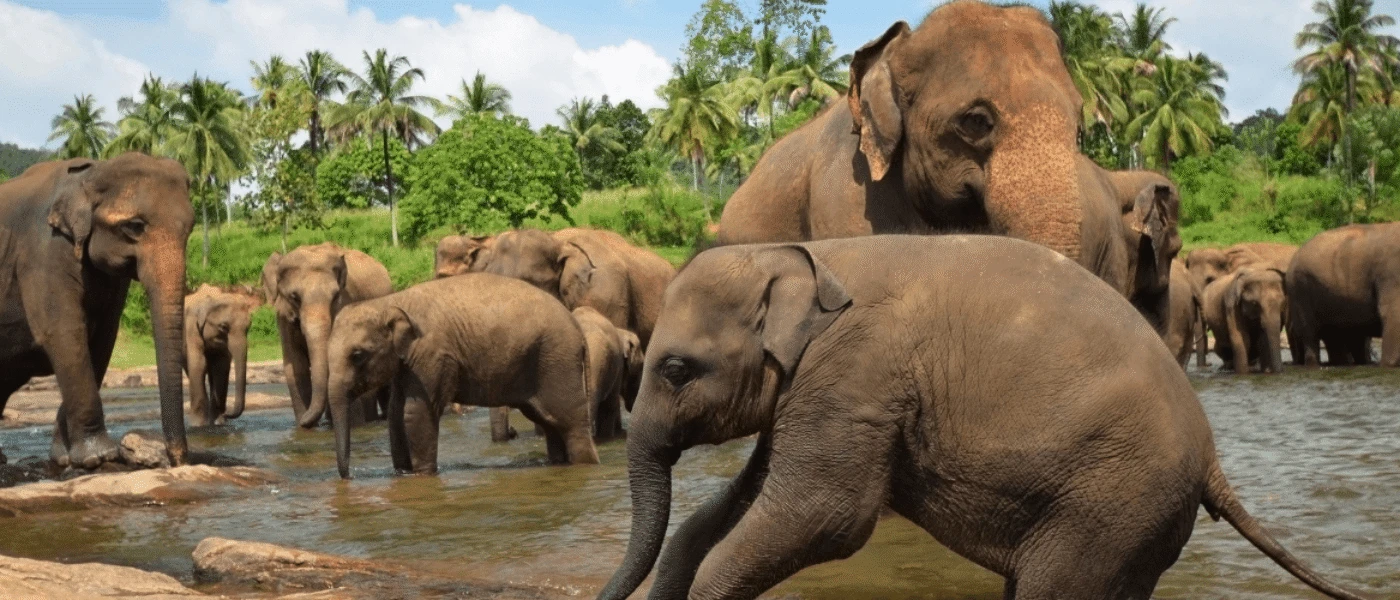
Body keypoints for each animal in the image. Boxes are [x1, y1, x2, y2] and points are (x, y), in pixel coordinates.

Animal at [0, 154, 193, 469]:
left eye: (191, 228)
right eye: (134, 226)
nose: (178, 460)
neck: (89, 175)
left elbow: (102, 340)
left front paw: (65, 458)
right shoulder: (43, 253)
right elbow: (64, 334)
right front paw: (98, 457)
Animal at [184, 284, 262, 426]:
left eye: (249, 326)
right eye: (223, 326)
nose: (227, 413)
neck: (212, 299)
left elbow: (221, 367)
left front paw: (218, 423)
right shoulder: (191, 328)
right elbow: (199, 365)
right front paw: (199, 425)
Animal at [263, 243, 393, 428]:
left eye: (335, 296)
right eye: (294, 297)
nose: (304, 421)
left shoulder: (347, 304)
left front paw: (354, 426)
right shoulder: (283, 318)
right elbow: (295, 365)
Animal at [324, 273, 600, 478]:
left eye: (357, 355)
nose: (348, 476)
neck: (389, 301)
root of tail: (578, 329)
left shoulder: (432, 354)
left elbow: (416, 412)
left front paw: (421, 475)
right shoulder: (408, 362)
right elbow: (395, 413)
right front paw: (402, 473)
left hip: (557, 360)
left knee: (570, 422)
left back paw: (585, 466)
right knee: (549, 422)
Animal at [597, 235, 1367, 600]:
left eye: (675, 370)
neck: (806, 254)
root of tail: (1212, 460)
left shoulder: (855, 373)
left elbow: (826, 516)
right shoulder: (818, 391)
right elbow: (743, 503)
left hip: (1112, 500)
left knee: (1053, 591)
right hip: (1132, 515)